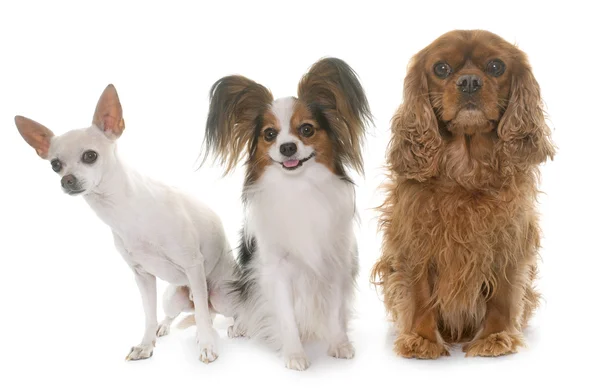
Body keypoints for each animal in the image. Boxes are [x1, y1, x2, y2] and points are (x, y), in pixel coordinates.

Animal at [203, 57, 370, 370]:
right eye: (269, 134)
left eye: (306, 129)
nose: (288, 147)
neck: (298, 187)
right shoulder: (275, 270)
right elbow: (287, 318)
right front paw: (294, 354)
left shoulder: (335, 263)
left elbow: (334, 311)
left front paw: (339, 343)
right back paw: (241, 326)